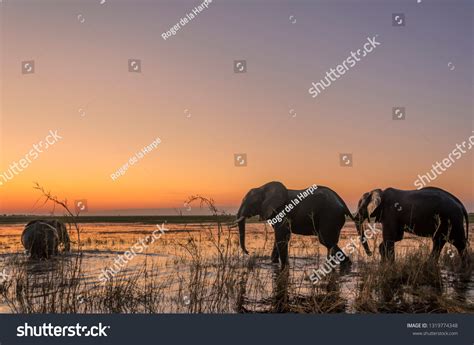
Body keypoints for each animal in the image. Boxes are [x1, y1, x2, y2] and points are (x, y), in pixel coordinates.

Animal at [233, 181, 370, 268]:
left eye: (250, 203)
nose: (248, 252)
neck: (263, 187)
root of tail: (343, 203)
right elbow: (281, 237)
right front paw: (273, 263)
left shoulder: (282, 211)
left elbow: (282, 237)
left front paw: (284, 266)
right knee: (330, 243)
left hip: (330, 216)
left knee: (327, 241)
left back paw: (345, 264)